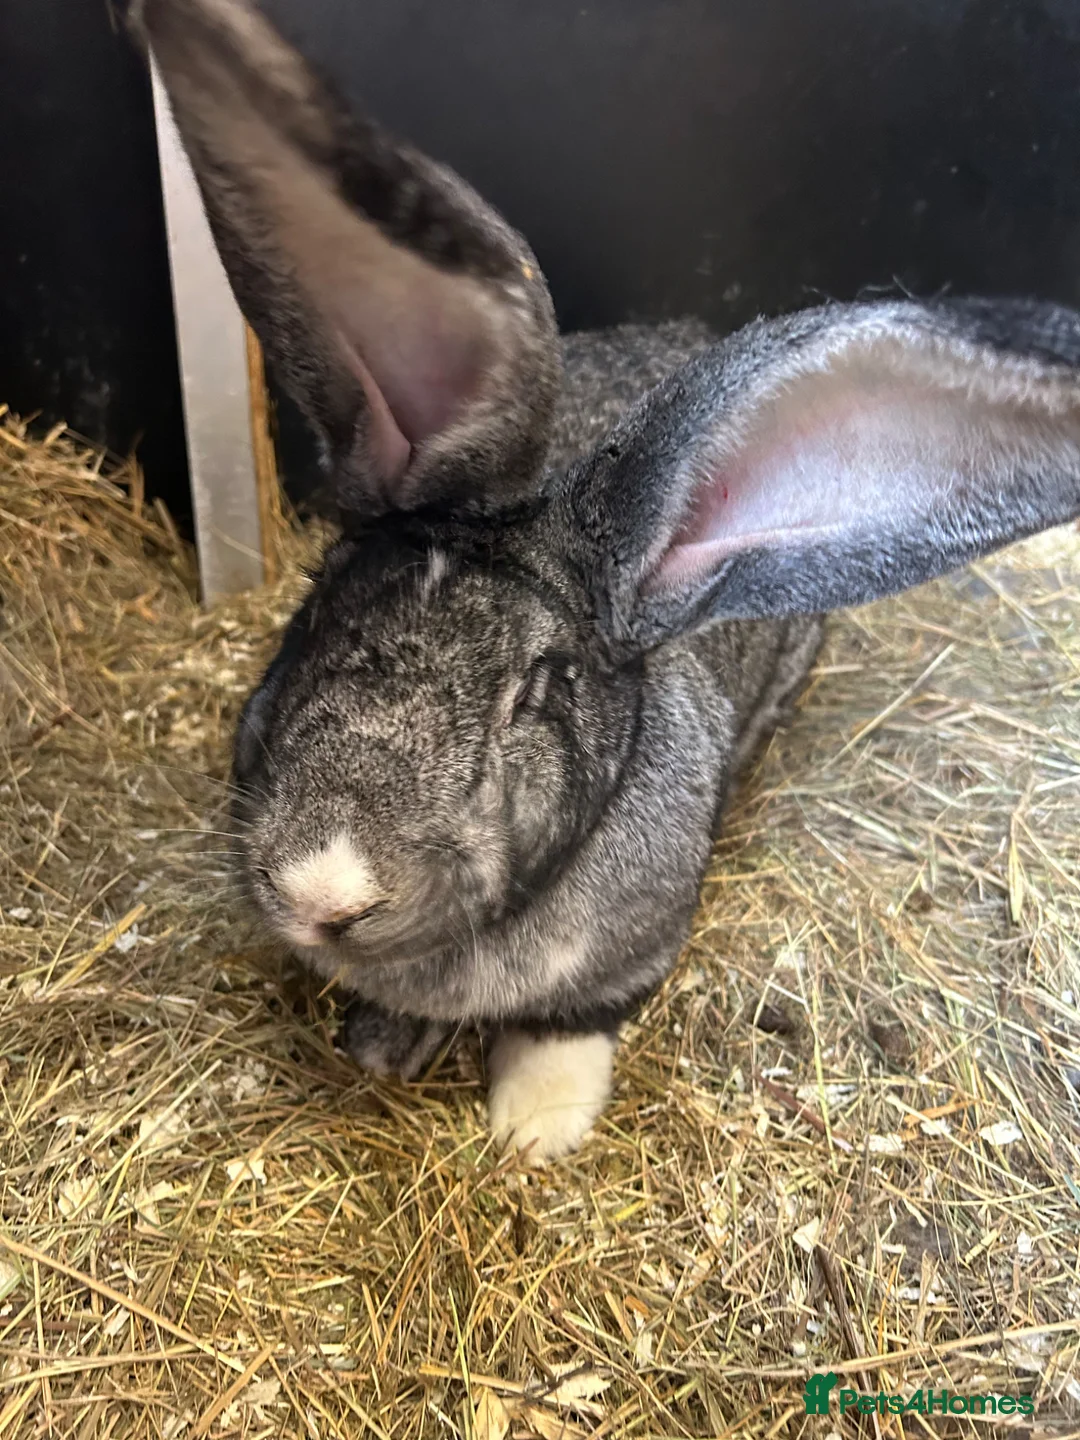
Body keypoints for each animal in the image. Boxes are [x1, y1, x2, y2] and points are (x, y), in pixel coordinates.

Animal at [137, 0, 1080, 1159]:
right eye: (316, 609)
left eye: (537, 689)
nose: (326, 886)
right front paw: (385, 1046)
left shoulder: (631, 951)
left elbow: (569, 1027)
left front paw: (530, 1132)